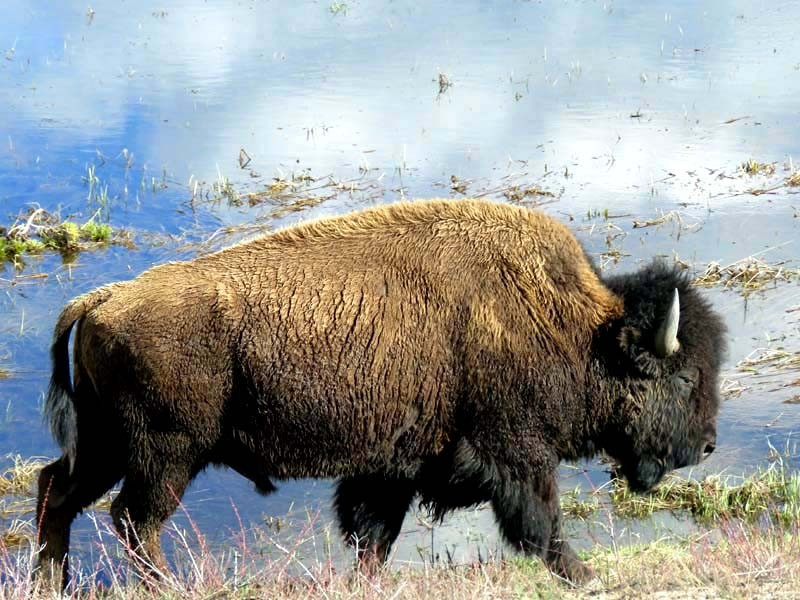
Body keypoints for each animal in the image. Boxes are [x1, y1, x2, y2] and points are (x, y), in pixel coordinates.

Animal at [35, 198, 725, 588]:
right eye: (684, 376)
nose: (707, 444)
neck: (575, 328)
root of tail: (102, 301)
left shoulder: (394, 467)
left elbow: (374, 534)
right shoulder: (517, 455)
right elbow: (541, 524)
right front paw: (585, 577)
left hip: (107, 446)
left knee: (57, 491)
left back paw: (51, 582)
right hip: (165, 453)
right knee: (134, 520)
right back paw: (166, 588)